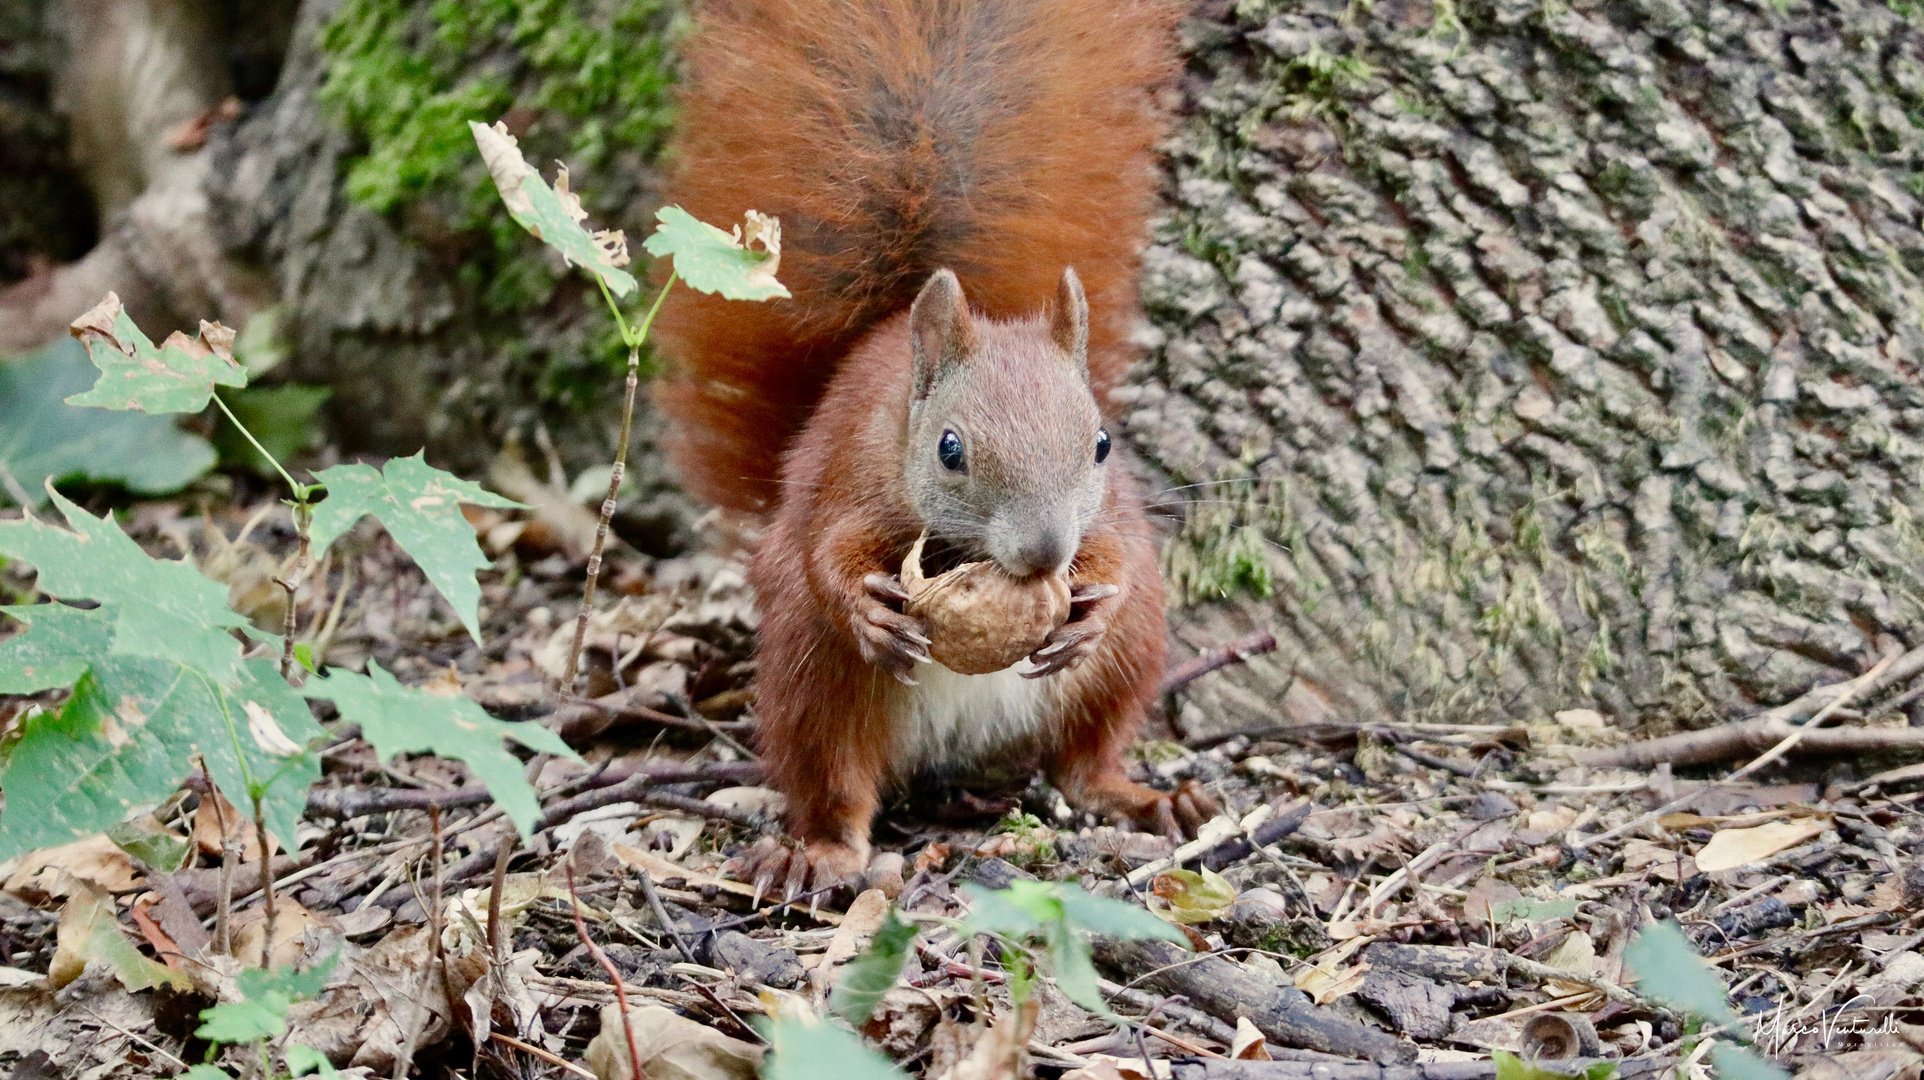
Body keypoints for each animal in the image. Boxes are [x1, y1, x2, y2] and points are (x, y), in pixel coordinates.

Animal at [646, 0, 1215, 893]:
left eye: (1101, 444)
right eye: (949, 450)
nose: (1047, 554)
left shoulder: (1110, 515)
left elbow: (1118, 554)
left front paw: (1093, 603)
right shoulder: (852, 476)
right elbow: (827, 552)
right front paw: (867, 606)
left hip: (1130, 661)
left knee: (1086, 757)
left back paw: (1147, 797)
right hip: (815, 679)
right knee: (835, 779)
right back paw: (817, 852)